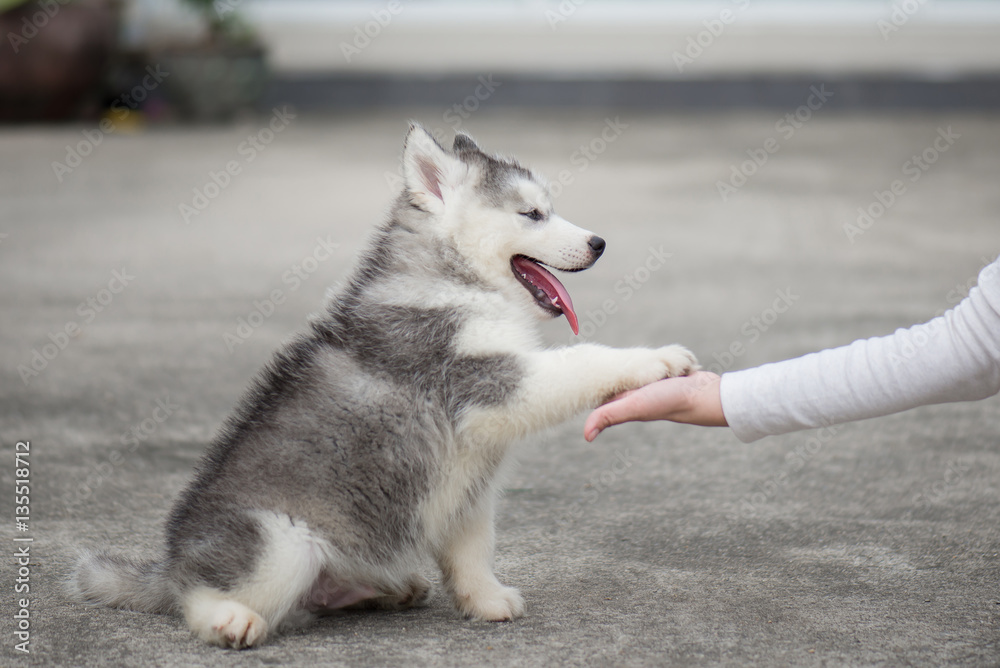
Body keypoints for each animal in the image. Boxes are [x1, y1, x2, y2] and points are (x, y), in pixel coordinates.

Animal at [72, 124, 696, 648]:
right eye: (533, 213)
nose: (599, 243)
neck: (454, 279)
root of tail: (172, 563)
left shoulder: (469, 482)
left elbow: (473, 549)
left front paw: (485, 599)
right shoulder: (487, 380)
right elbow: (582, 361)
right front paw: (656, 359)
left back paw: (390, 589)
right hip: (280, 543)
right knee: (200, 595)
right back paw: (228, 619)